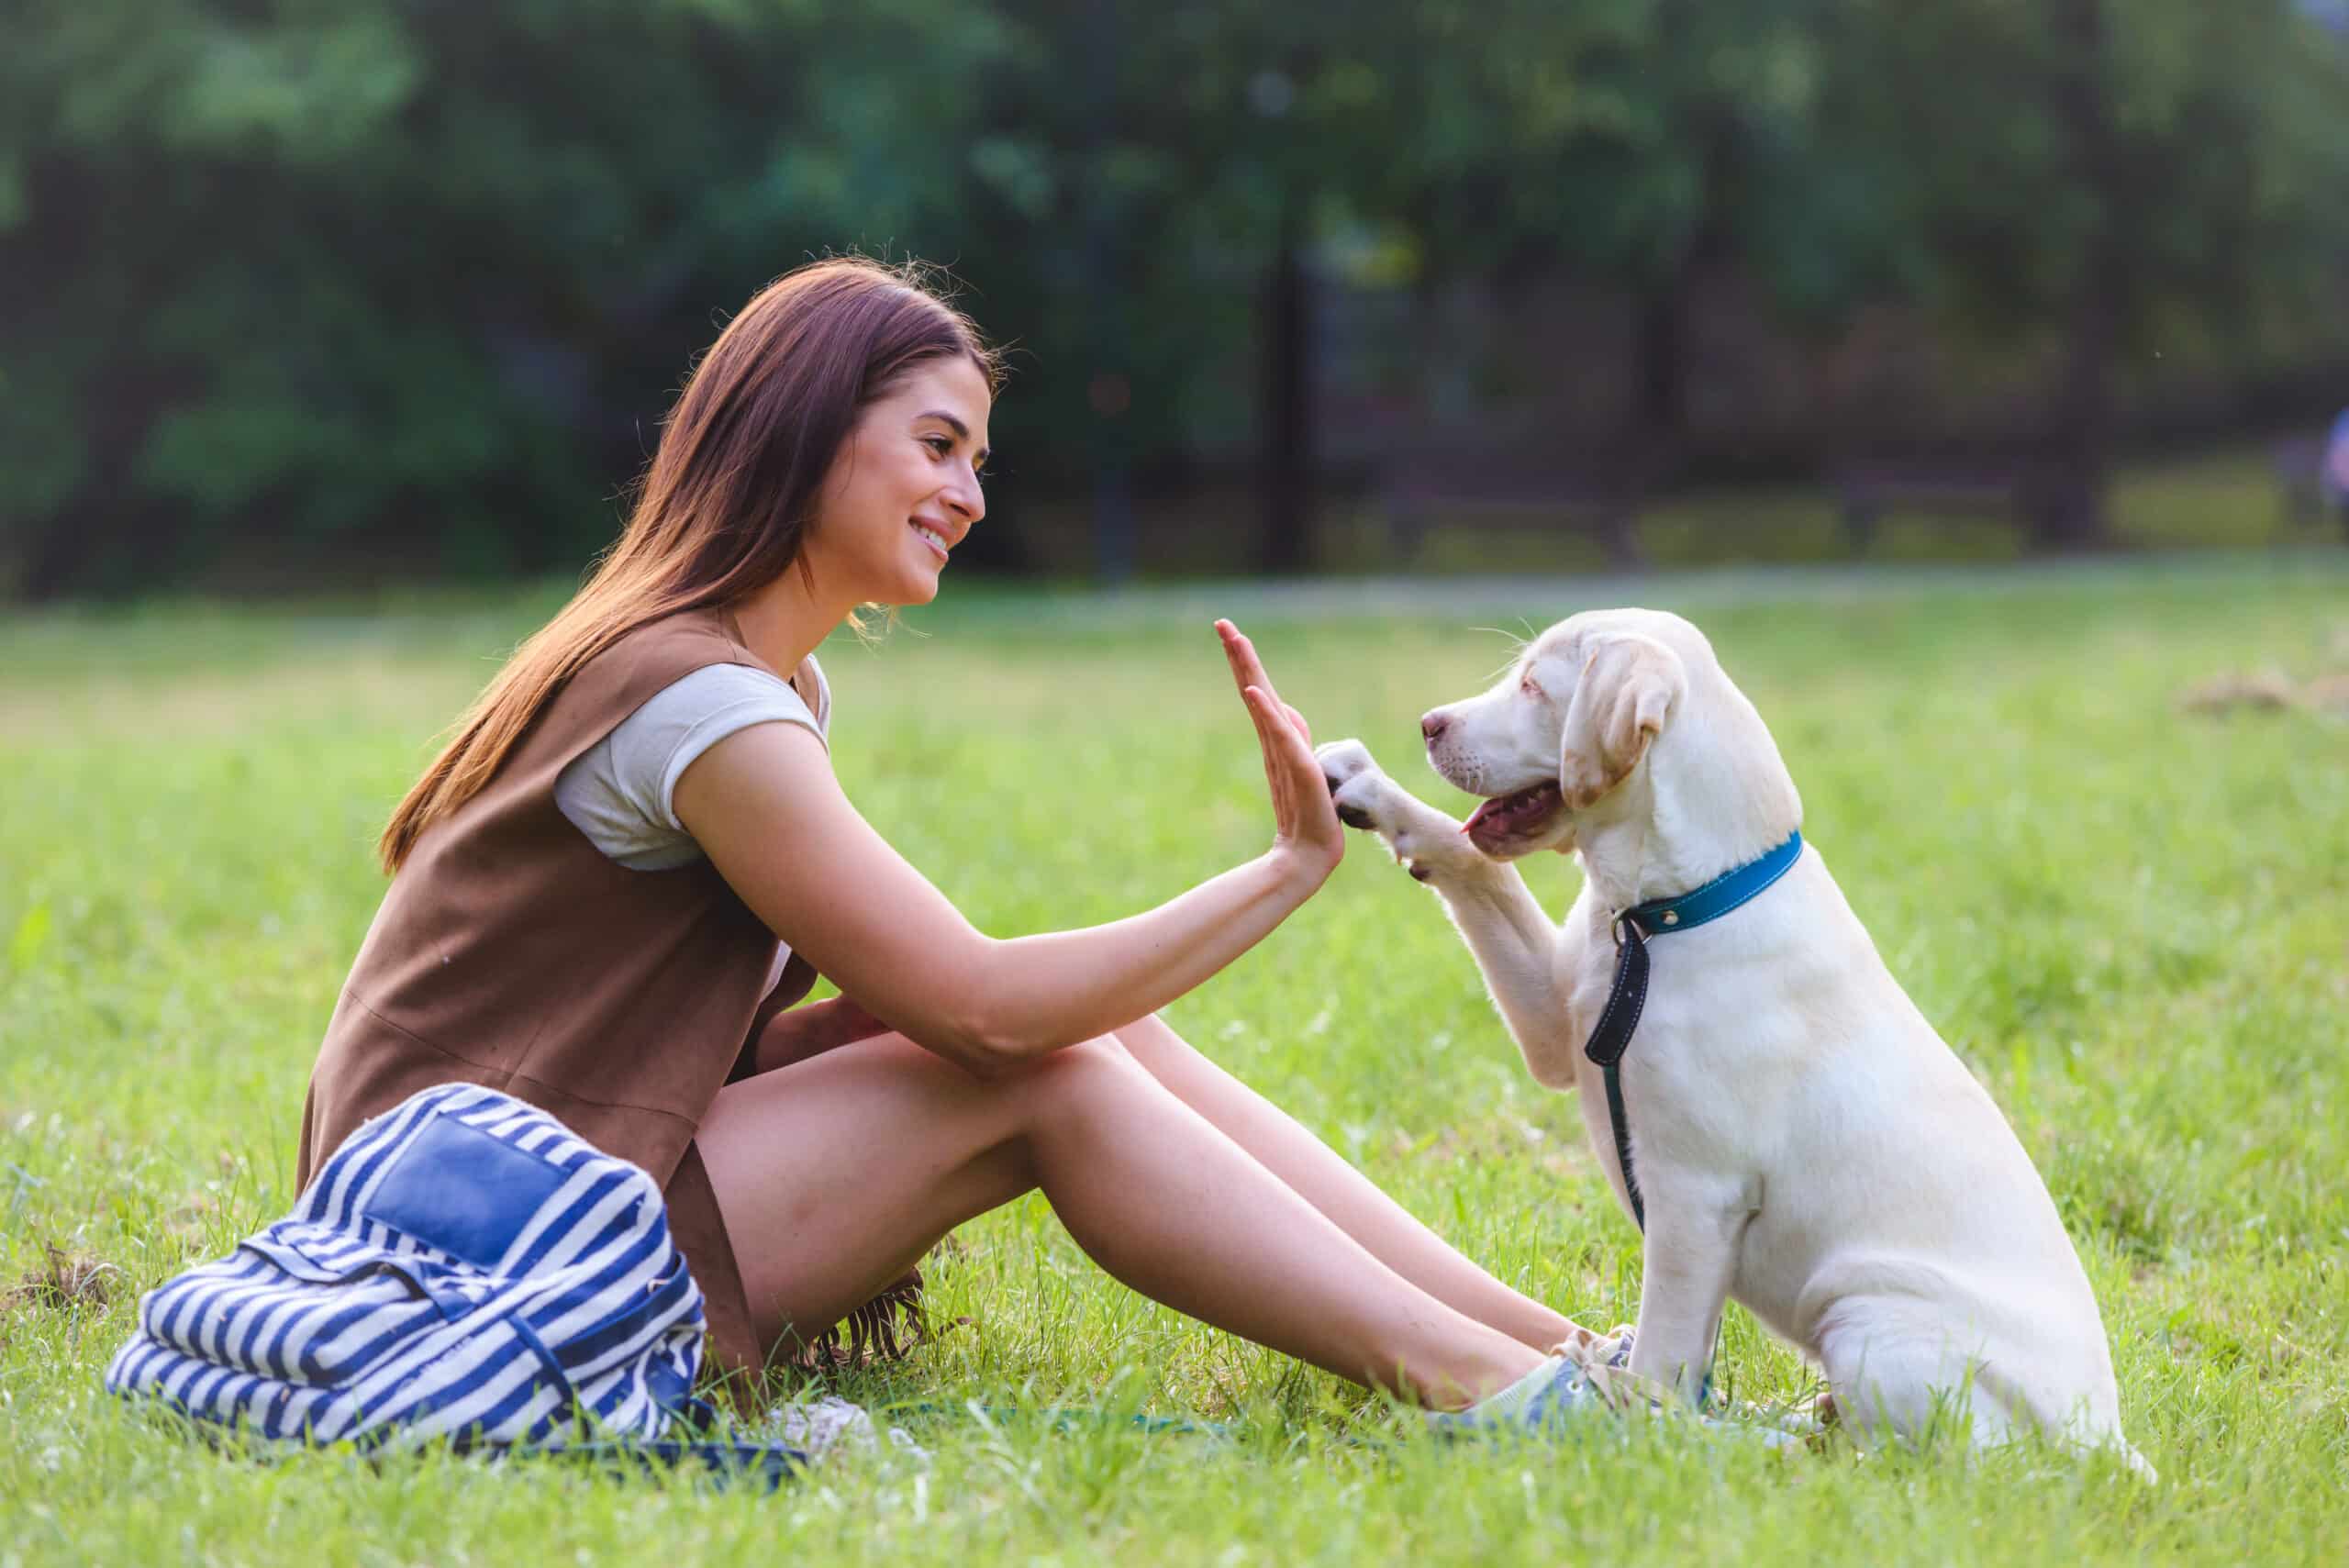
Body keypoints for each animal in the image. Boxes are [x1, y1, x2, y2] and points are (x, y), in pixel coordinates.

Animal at [1324, 606, 2151, 1473]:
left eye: (1532, 687)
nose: (1428, 723)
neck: (1664, 917)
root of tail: (2108, 1443)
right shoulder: (1556, 1025)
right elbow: (1472, 859)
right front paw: (1363, 784)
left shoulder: (1694, 1193)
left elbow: (1663, 1354)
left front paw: (1638, 1431)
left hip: (1870, 1319)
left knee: (1916, 1461)